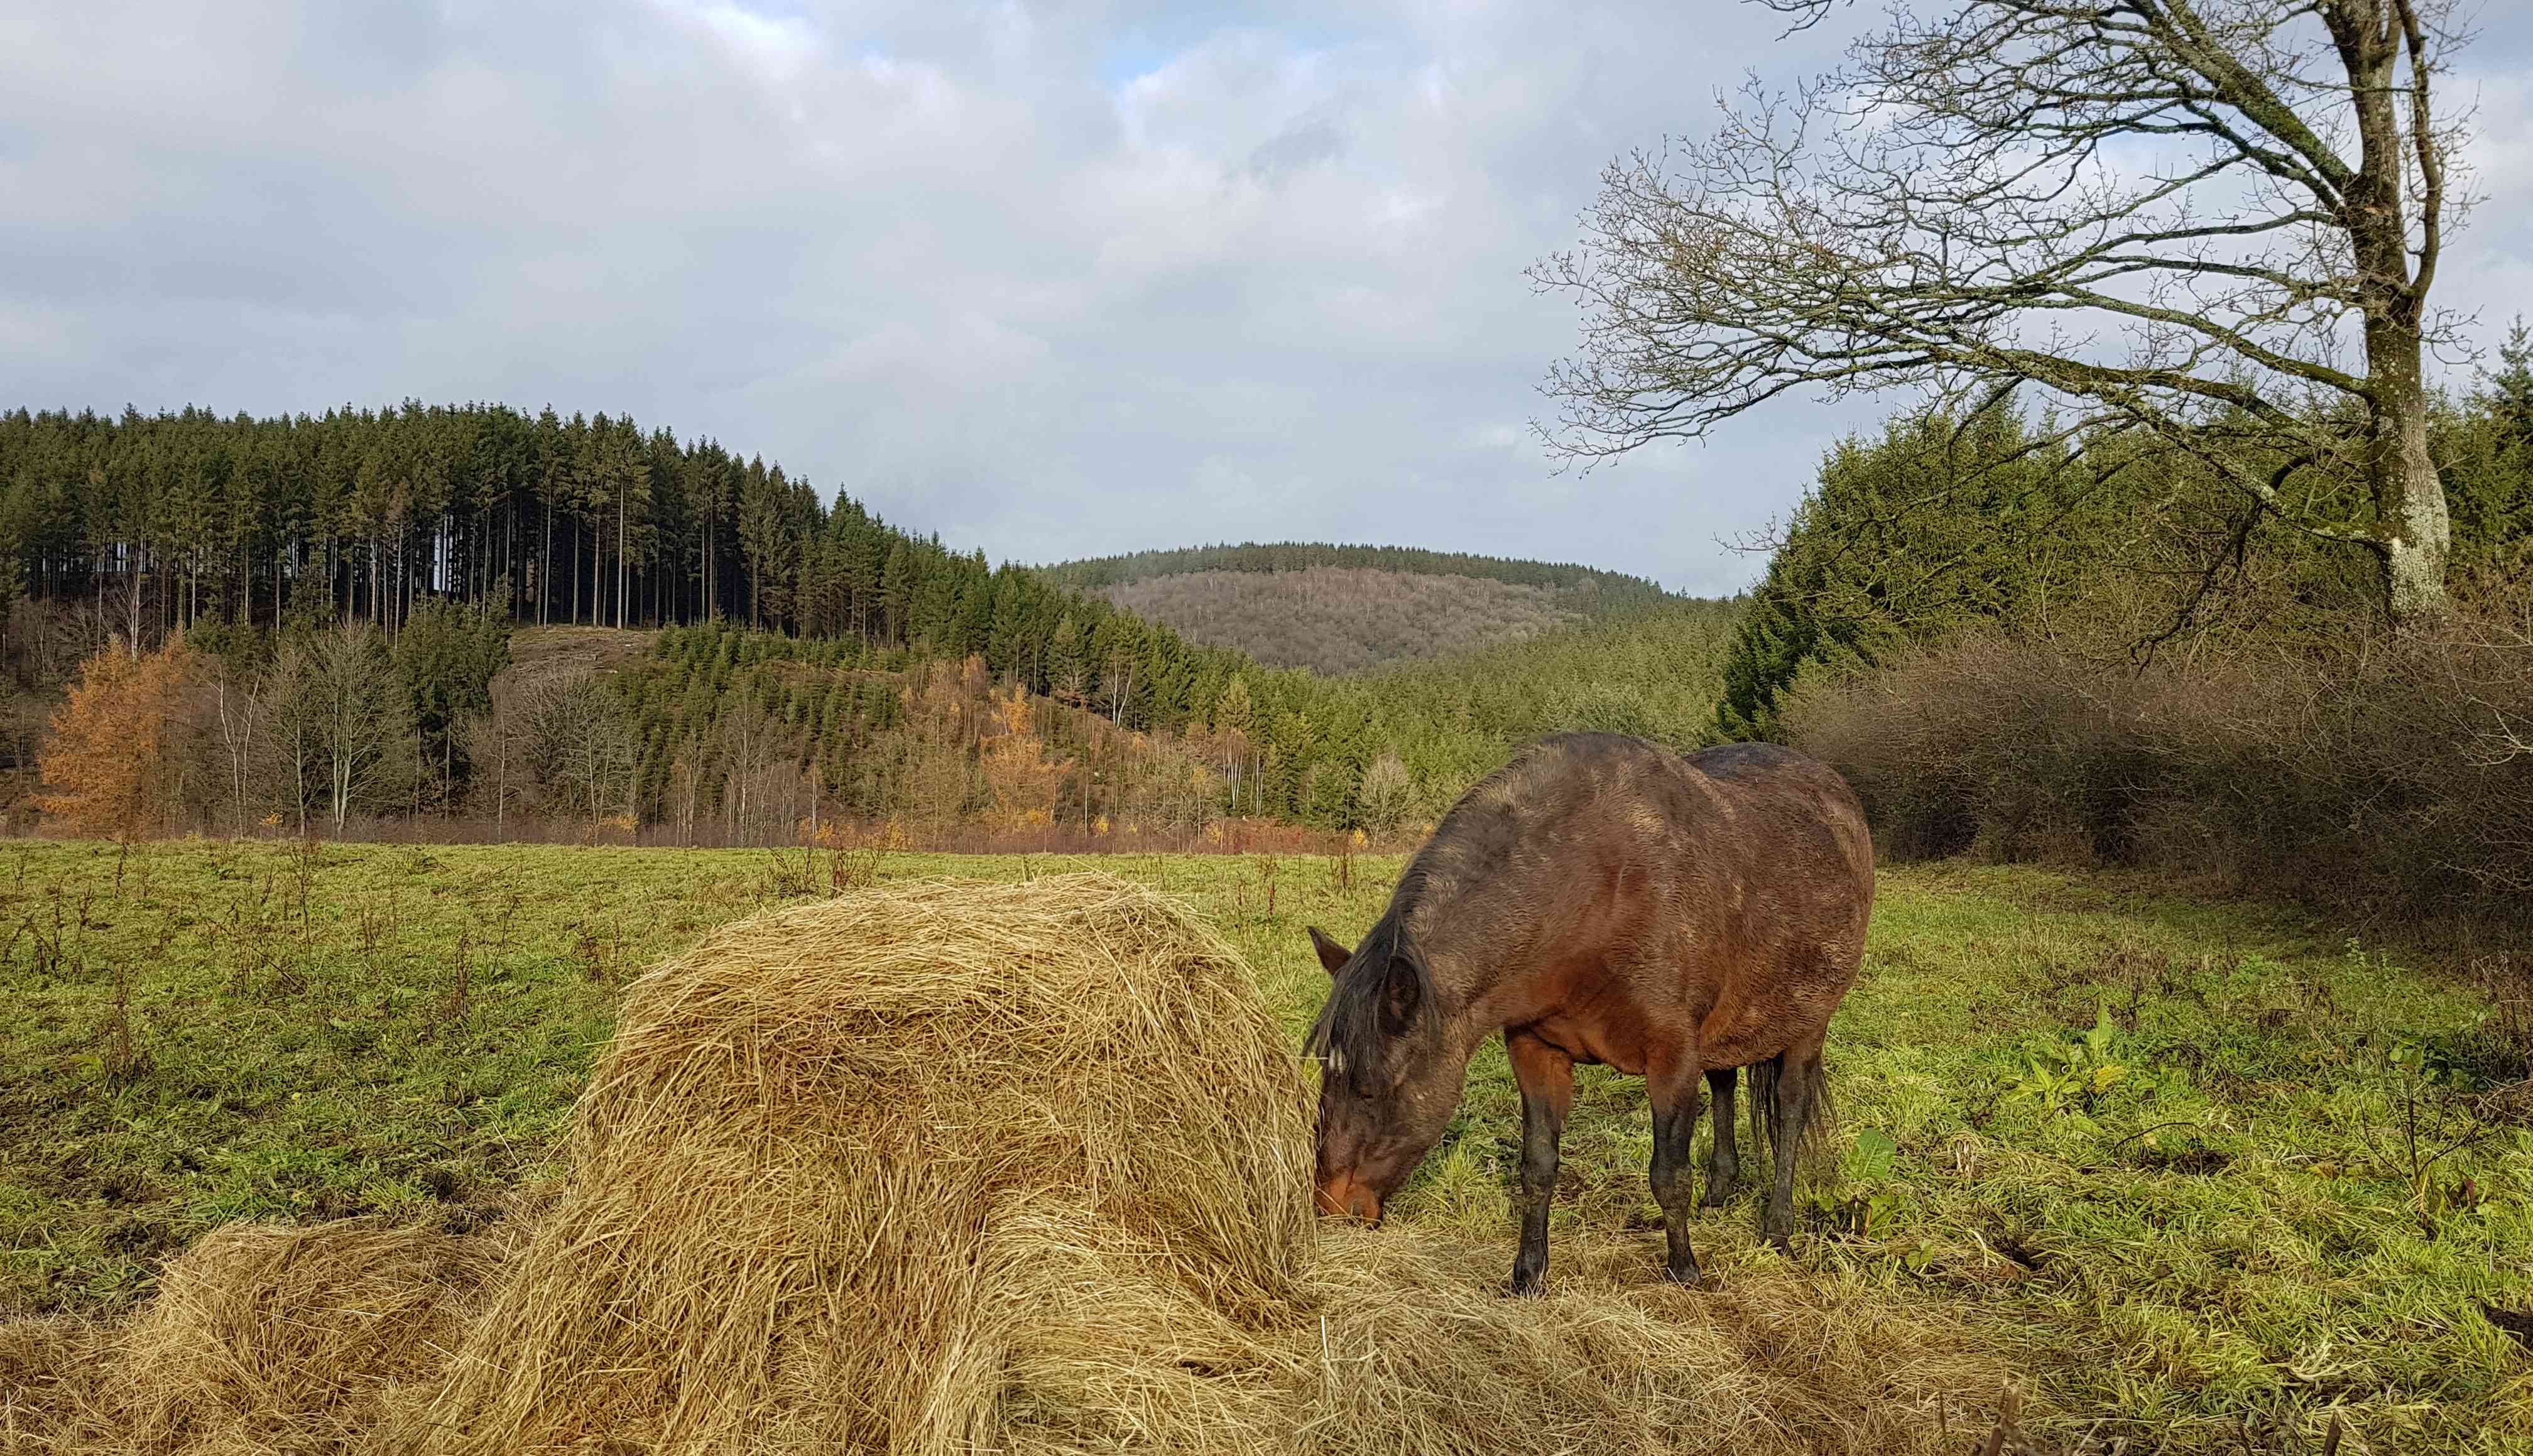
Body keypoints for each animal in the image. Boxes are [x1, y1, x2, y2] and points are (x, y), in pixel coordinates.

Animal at [1317, 734, 1874, 1291]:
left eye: (1371, 1090)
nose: (1333, 1207)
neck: (1596, 891)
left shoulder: (1673, 1060)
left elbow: (1669, 1176)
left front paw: (1685, 1269)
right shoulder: (1535, 1049)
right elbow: (1538, 1167)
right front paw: (1528, 1273)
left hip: (1808, 1026)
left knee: (1790, 1112)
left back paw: (1778, 1229)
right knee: (1725, 1085)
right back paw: (1719, 1194)